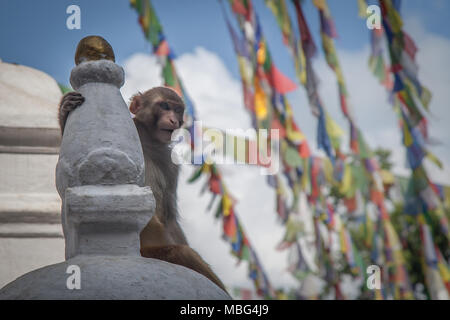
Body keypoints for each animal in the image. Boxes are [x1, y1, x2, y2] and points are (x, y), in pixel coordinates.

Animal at [59, 87, 227, 292]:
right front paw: (64, 111)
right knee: (179, 253)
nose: (174, 120)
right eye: (165, 106)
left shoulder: (169, 163)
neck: (147, 142)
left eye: (178, 110)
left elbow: (169, 217)